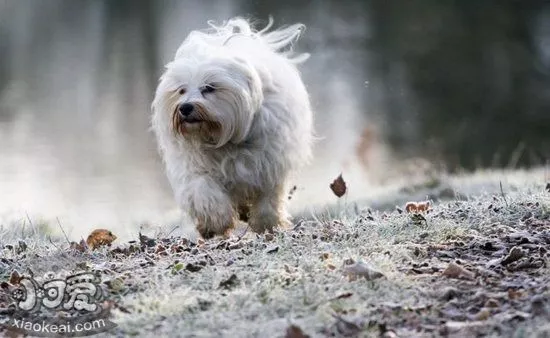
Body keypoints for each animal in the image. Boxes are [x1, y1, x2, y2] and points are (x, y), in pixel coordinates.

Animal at [153, 17, 312, 239]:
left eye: (209, 88)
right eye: (181, 90)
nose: (185, 108)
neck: (222, 138)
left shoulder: (270, 165)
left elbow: (268, 199)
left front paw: (267, 224)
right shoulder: (194, 168)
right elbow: (204, 192)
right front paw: (215, 222)